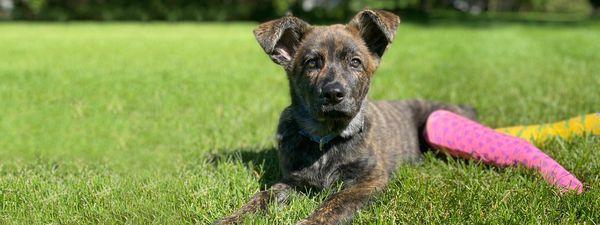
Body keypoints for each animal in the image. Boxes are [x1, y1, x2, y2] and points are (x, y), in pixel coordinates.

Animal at [214, 9, 474, 225]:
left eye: (355, 62)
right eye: (312, 63)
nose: (333, 93)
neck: (326, 138)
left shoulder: (369, 180)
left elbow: (336, 202)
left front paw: (312, 221)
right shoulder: (292, 181)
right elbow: (262, 196)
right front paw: (232, 218)